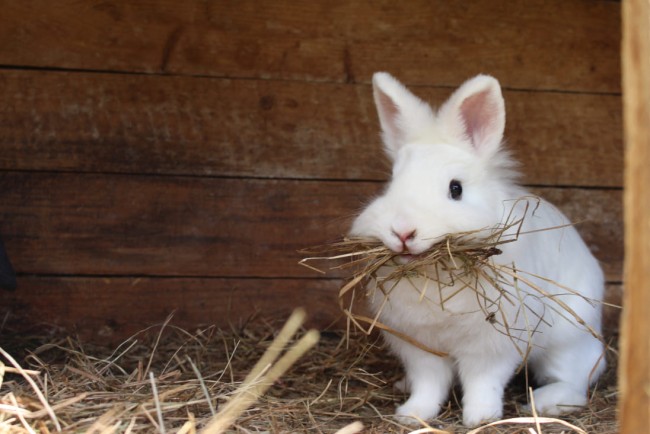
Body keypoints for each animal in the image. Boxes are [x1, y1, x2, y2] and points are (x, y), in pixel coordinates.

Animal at [349, 72, 606, 427]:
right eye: (391, 184)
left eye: (455, 189)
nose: (402, 230)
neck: (435, 276)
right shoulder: (420, 346)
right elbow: (429, 384)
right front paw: (413, 415)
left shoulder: (492, 346)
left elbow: (483, 382)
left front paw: (480, 418)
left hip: (569, 340)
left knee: (575, 381)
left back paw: (545, 403)